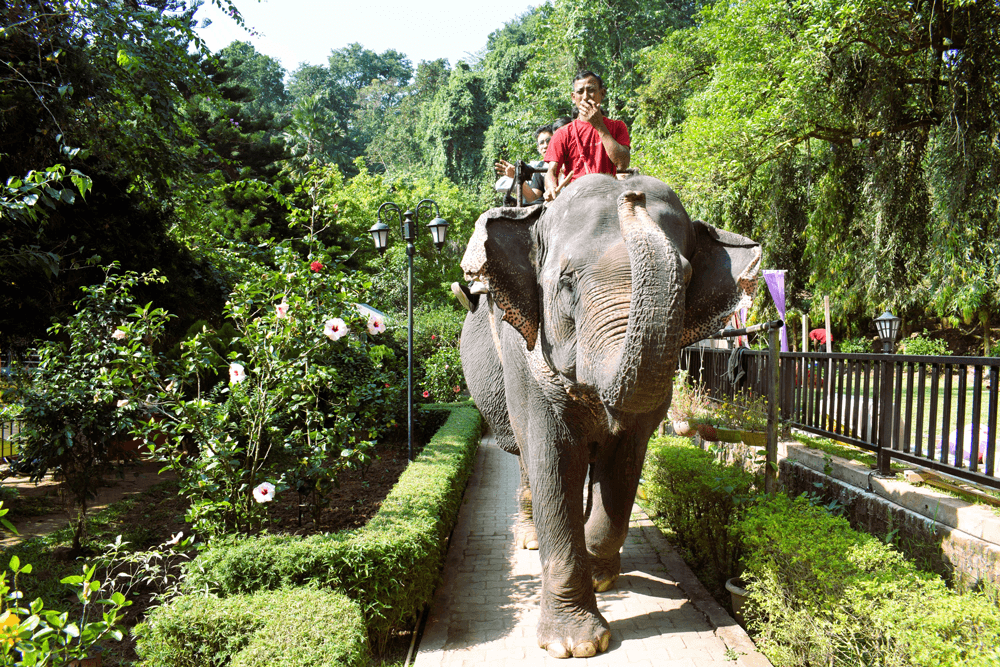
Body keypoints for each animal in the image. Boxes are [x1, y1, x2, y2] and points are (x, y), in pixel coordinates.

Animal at [458, 173, 760, 658]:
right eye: (566, 283)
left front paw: (601, 573)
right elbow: (553, 460)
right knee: (525, 457)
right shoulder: (525, 358)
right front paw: (575, 645)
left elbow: (624, 465)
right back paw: (530, 537)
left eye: (686, 279)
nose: (631, 196)